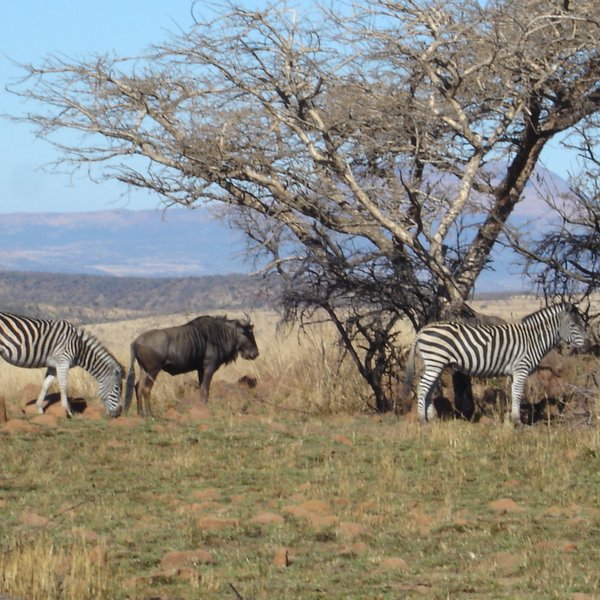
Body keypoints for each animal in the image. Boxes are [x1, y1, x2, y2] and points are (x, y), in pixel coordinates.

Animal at [406, 302, 588, 424]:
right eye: (573, 324)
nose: (587, 344)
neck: (532, 339)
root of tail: (424, 328)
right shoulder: (521, 368)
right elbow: (518, 393)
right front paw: (518, 422)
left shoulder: (514, 372)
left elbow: (514, 393)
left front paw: (511, 419)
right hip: (435, 361)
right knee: (423, 387)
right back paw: (422, 420)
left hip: (437, 363)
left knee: (429, 388)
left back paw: (432, 418)